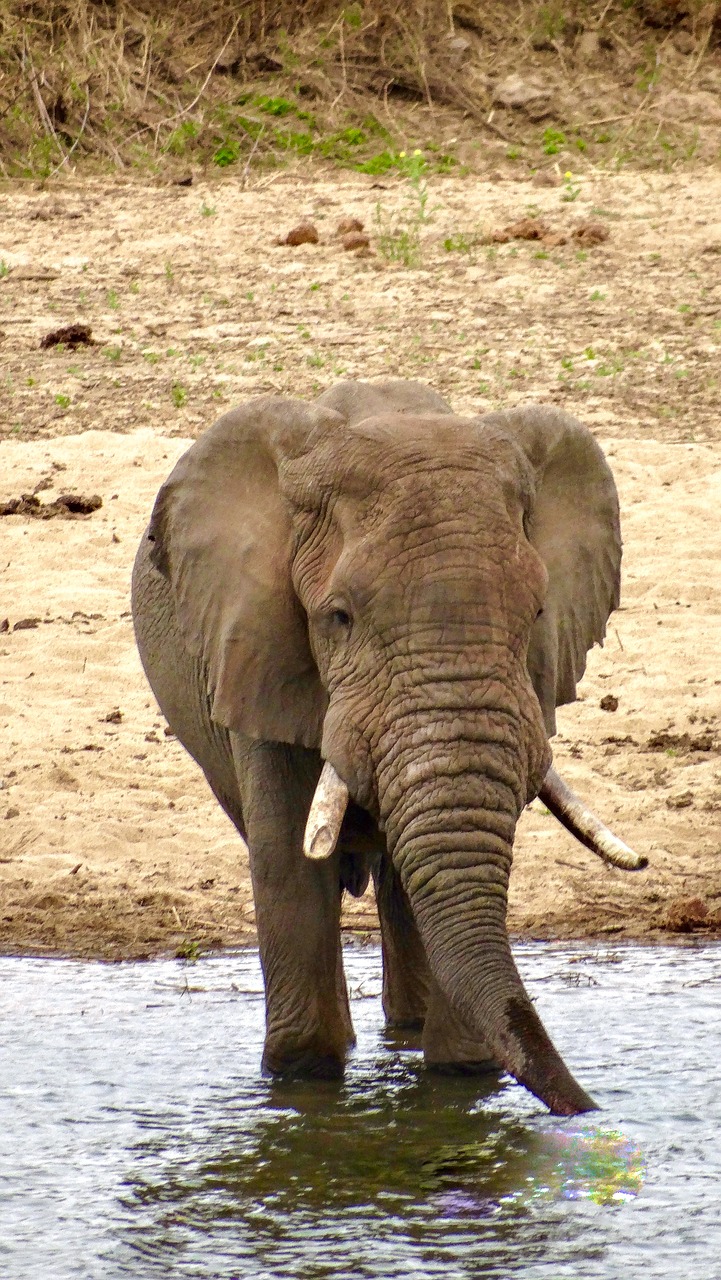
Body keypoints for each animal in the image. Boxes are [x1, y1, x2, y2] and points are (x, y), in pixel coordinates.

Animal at [132, 373, 645, 1116]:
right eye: (337, 618)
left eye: (539, 613)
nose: (589, 1110)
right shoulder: (259, 646)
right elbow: (286, 860)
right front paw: (302, 1082)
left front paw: (460, 1079)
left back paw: (407, 1028)